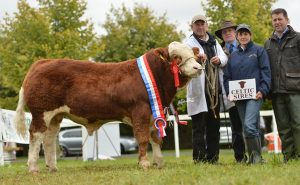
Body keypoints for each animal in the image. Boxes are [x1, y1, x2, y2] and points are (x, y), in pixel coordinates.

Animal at [14, 41, 202, 173]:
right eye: (176, 57)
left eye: (192, 55)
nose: (198, 67)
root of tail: (40, 63)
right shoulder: (140, 111)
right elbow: (142, 138)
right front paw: (144, 163)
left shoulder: (155, 113)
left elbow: (156, 138)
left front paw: (159, 162)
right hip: (42, 112)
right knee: (36, 136)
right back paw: (33, 168)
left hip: (55, 116)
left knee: (49, 139)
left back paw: (52, 167)